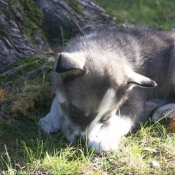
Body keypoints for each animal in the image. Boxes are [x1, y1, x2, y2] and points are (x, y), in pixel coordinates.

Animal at [39, 26, 175, 152]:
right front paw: (50, 119)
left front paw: (103, 138)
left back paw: (164, 110)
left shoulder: (136, 99)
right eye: (76, 110)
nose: (81, 140)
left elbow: (120, 119)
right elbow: (57, 98)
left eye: (105, 118)